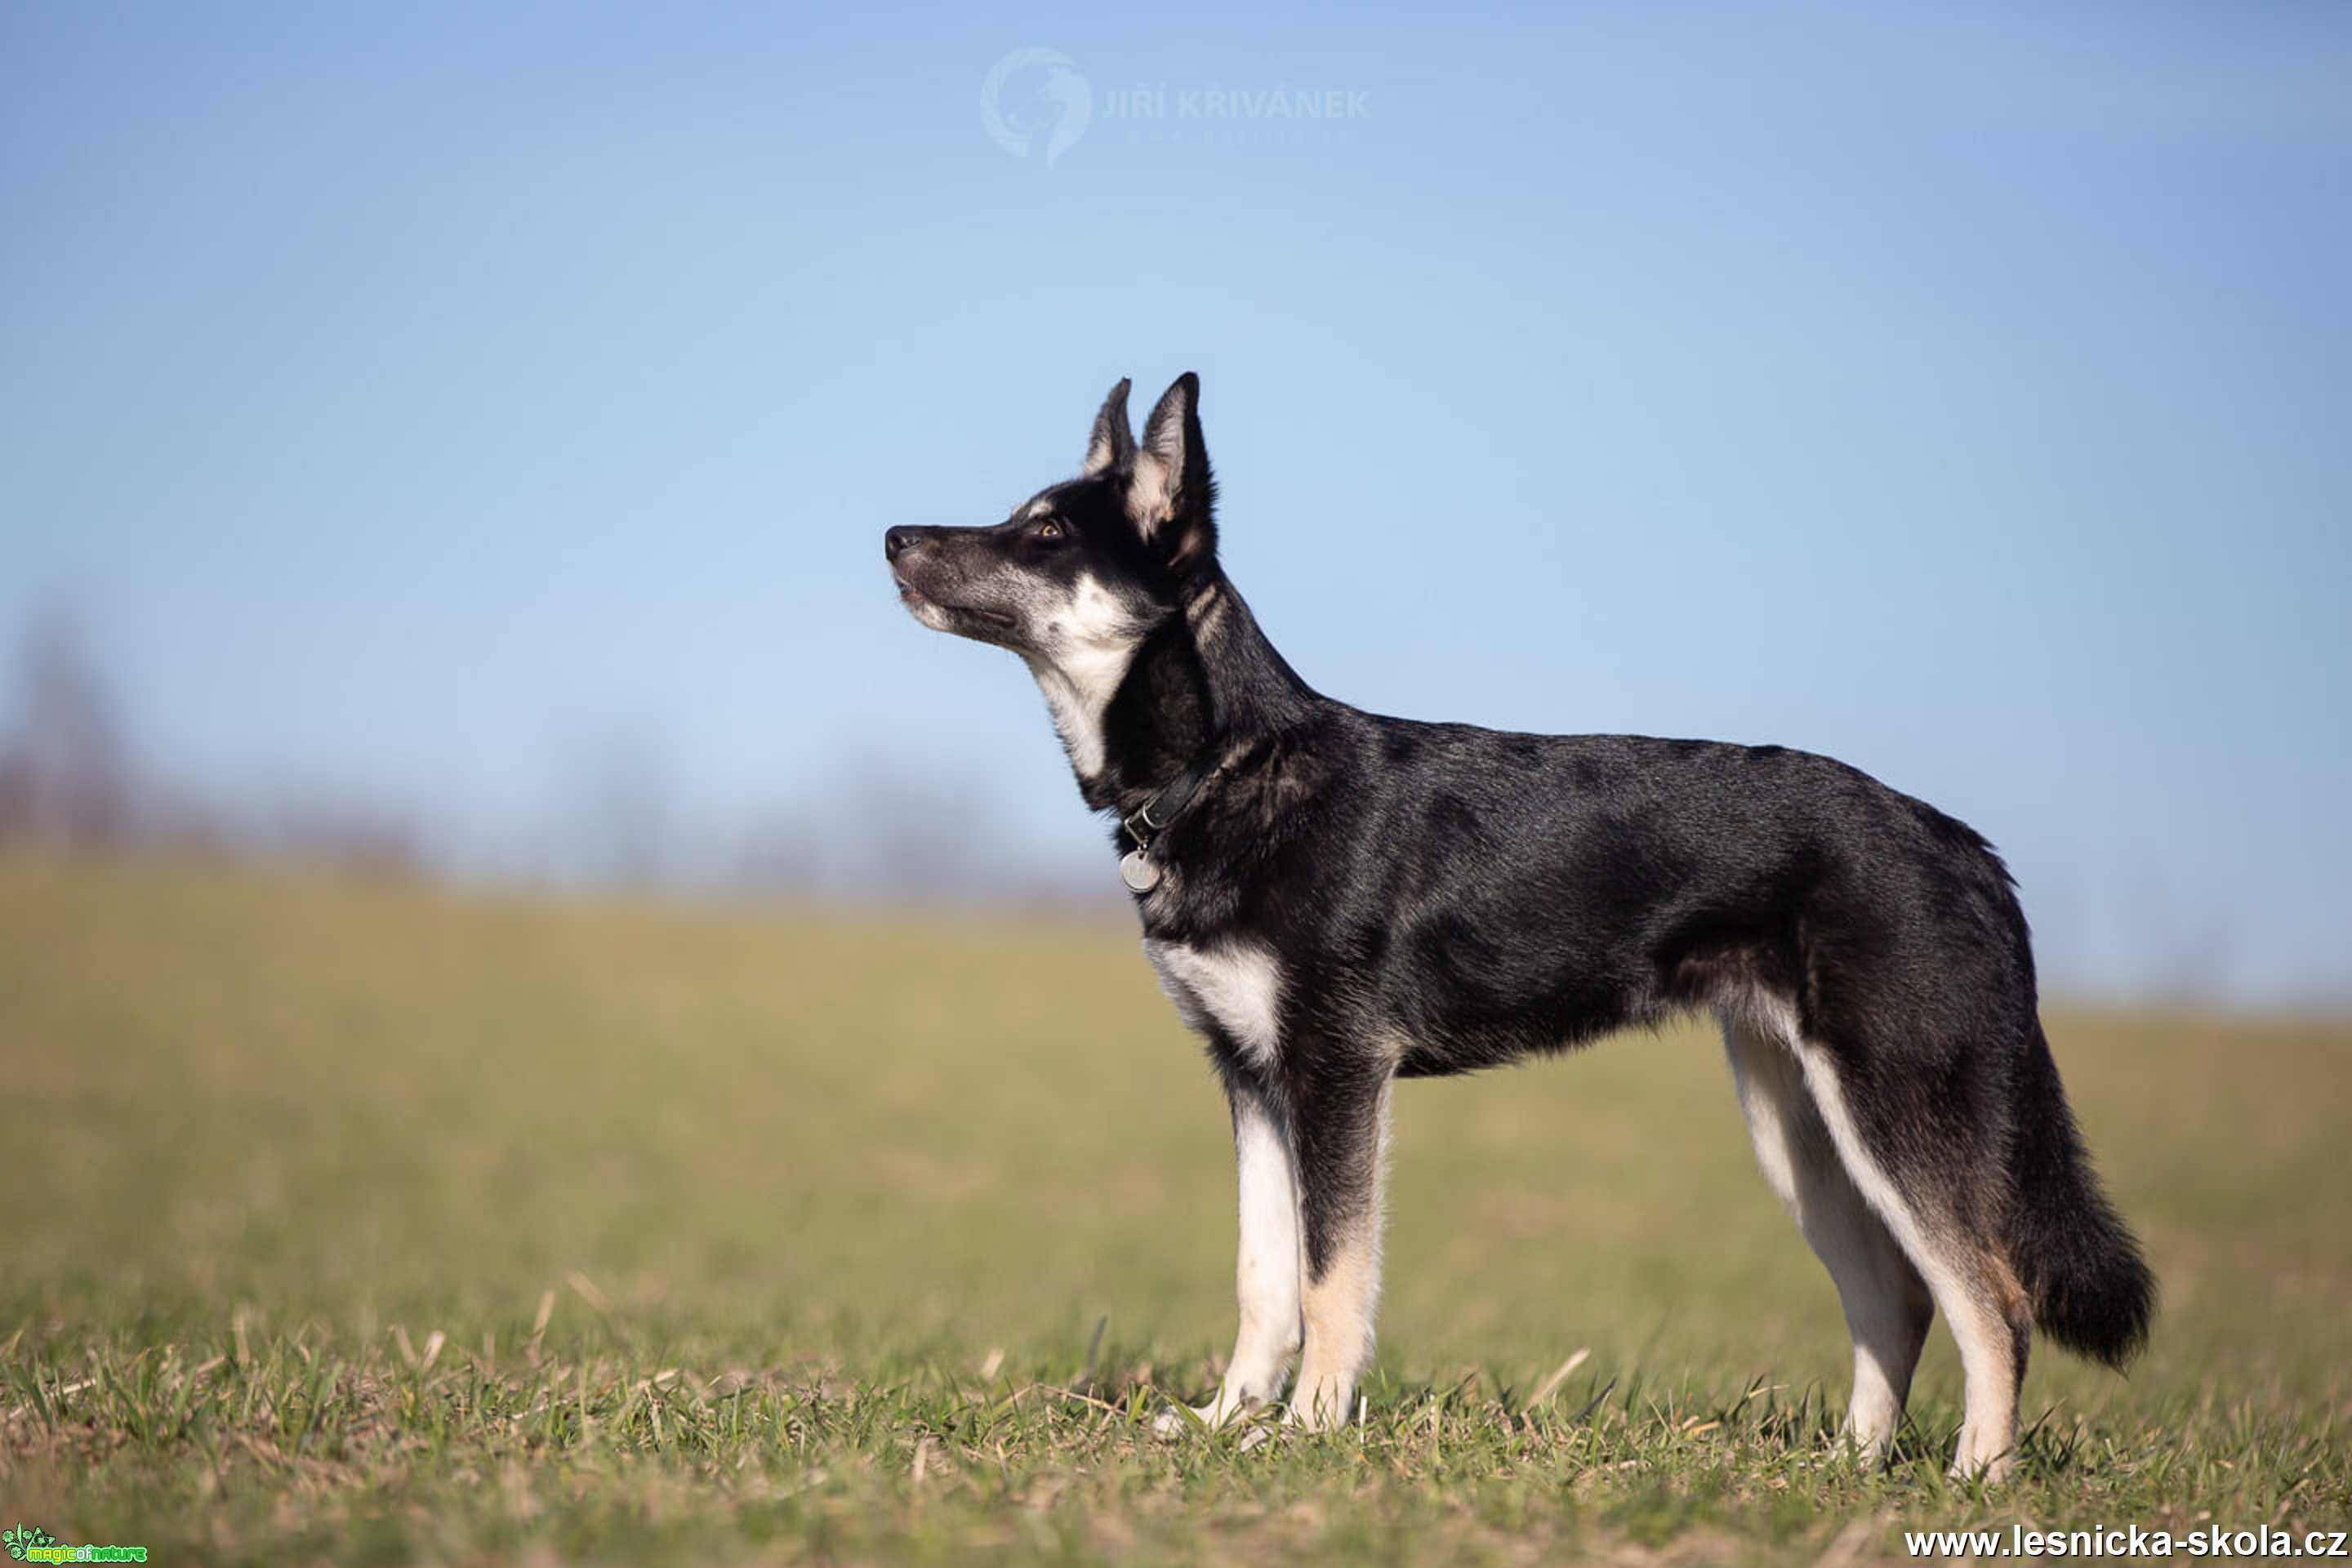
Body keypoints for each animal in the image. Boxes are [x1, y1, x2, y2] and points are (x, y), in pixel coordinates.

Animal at [889, 373, 2154, 1476]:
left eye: (1047, 533)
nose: (894, 536)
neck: (1226, 769)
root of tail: (1969, 850)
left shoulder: (1338, 1072)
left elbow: (1331, 1281)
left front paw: (1307, 1435)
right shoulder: (1251, 1077)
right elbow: (1263, 1278)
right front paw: (1225, 1425)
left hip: (1895, 1112)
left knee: (1992, 1302)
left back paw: (1973, 1481)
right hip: (1799, 1125)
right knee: (1896, 1299)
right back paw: (1846, 1471)